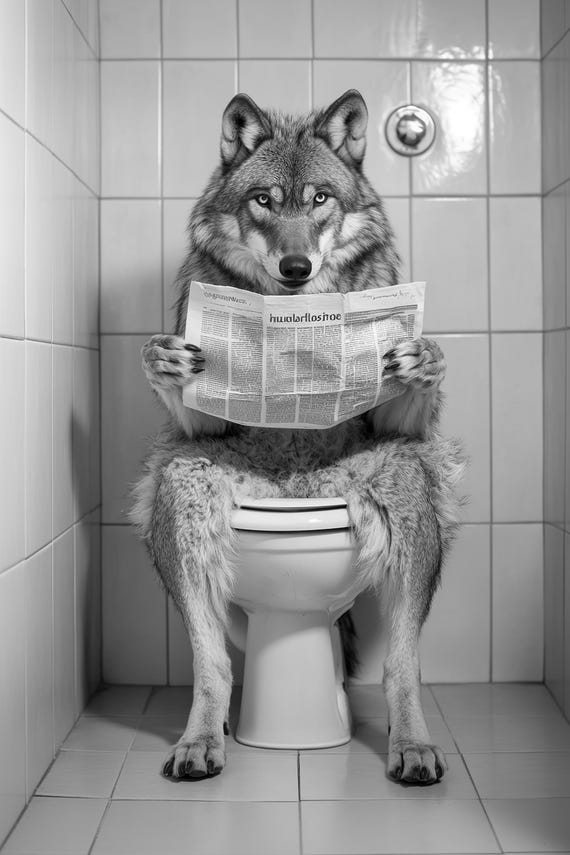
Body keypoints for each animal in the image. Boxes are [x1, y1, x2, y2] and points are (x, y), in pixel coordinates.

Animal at [131, 90, 465, 785]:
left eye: (318, 199)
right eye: (263, 199)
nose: (295, 266)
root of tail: (297, 492)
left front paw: (424, 359)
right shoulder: (202, 399)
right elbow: (189, 399)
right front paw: (163, 361)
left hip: (400, 484)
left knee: (400, 662)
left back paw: (412, 745)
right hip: (186, 484)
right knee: (213, 662)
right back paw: (201, 742)